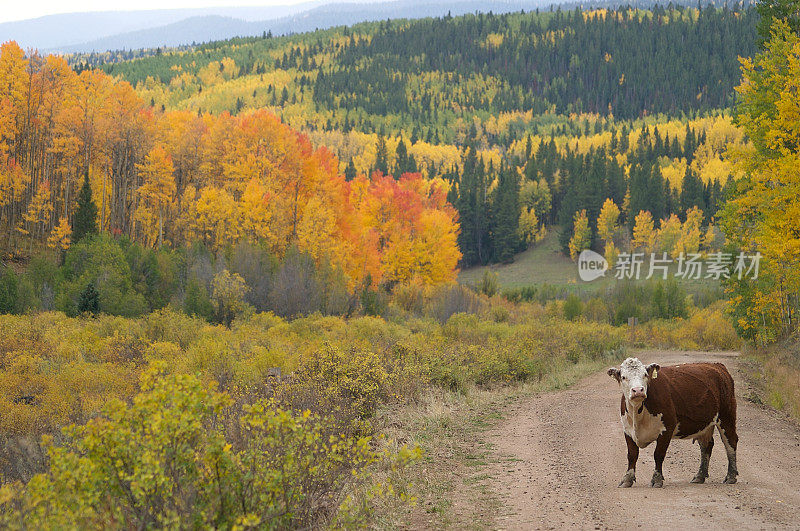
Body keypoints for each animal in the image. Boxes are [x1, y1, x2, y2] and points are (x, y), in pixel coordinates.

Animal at [608, 358, 740, 490]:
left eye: (645, 375)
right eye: (624, 377)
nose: (638, 390)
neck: (638, 415)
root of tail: (717, 365)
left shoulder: (667, 428)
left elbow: (658, 454)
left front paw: (656, 479)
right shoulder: (628, 431)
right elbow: (632, 455)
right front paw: (627, 479)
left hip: (727, 415)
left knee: (730, 442)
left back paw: (731, 476)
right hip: (706, 423)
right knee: (706, 445)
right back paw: (699, 476)